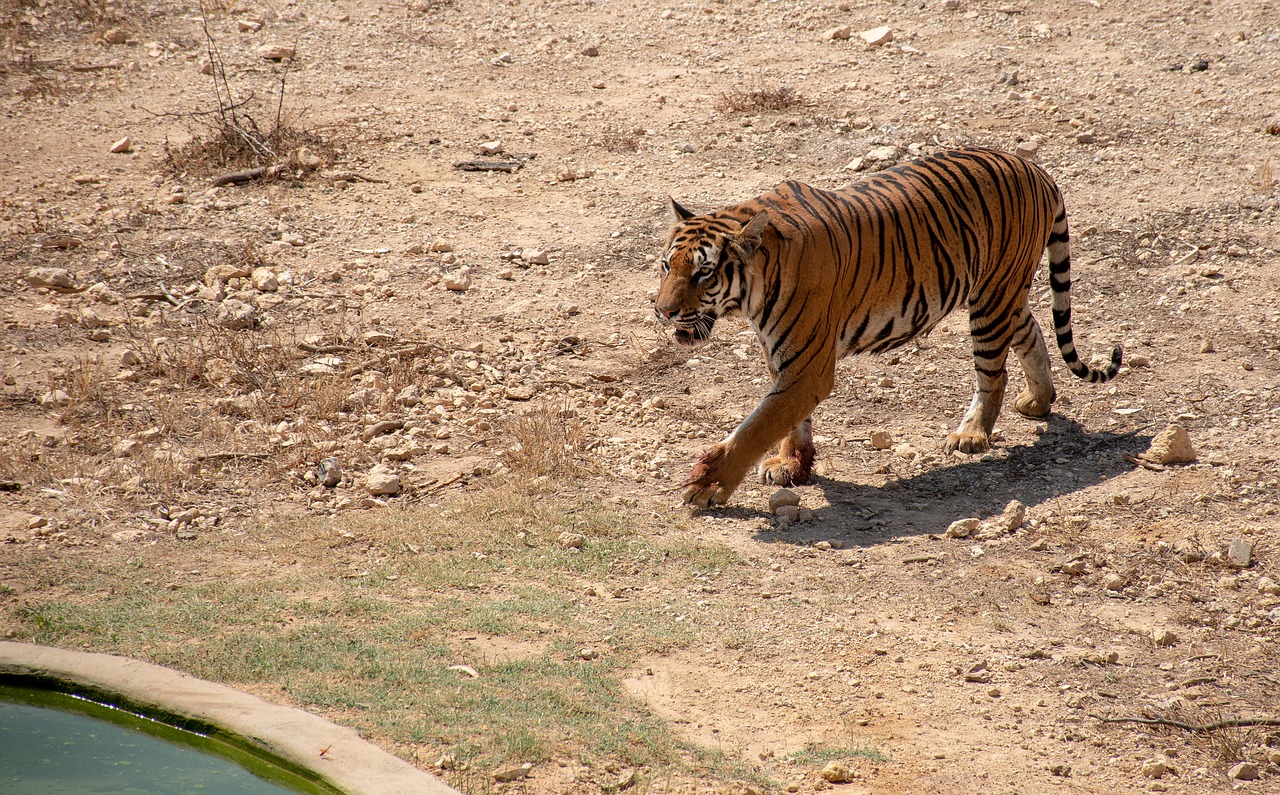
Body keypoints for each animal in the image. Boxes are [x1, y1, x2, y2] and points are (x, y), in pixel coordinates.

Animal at [655, 147, 1126, 509]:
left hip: (992, 299)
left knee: (994, 372)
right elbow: (788, 420)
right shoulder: (784, 358)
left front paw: (710, 483)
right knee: (1032, 331)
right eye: (666, 265)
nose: (662, 311)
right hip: (1001, 291)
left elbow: (758, 427)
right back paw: (1039, 400)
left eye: (704, 273)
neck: (755, 287)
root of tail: (1036, 169)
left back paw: (972, 434)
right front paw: (790, 463)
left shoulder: (808, 367)